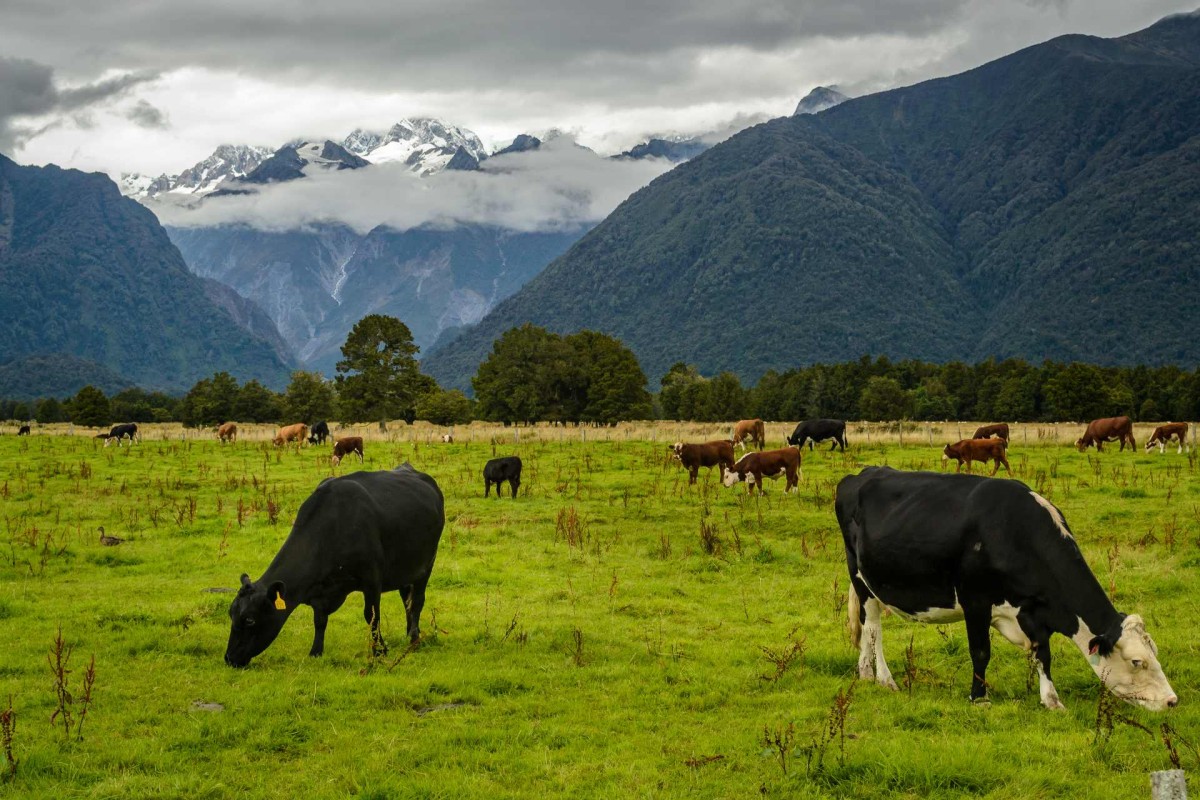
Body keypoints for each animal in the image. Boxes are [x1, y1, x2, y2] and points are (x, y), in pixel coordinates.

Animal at [224, 463, 444, 667]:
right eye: (231, 614)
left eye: (250, 619)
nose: (229, 658)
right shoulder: (320, 591)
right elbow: (320, 620)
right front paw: (315, 652)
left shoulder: (372, 579)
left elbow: (371, 616)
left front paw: (379, 651)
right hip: (405, 569)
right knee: (406, 598)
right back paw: (410, 633)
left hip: (427, 564)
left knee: (417, 601)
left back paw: (414, 638)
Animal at [836, 466, 1177, 710]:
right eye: (1137, 661)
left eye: (1155, 652)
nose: (1172, 701)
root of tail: (861, 474)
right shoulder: (975, 600)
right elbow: (980, 651)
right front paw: (979, 697)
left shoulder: (1034, 609)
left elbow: (1043, 654)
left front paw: (1051, 700)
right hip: (862, 579)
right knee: (874, 630)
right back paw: (885, 679)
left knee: (866, 629)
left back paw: (865, 673)